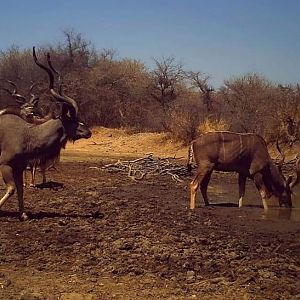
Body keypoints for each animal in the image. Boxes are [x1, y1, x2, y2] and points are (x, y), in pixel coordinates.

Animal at [0, 47, 91, 220]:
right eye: (71, 120)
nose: (88, 132)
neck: (27, 135)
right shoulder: (5, 165)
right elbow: (12, 189)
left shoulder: (19, 167)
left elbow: (20, 189)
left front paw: (24, 215)